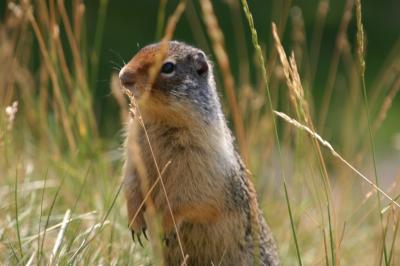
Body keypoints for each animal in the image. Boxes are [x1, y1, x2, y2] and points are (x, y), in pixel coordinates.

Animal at [120, 40, 280, 264]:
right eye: (141, 50)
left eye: (168, 67)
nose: (123, 77)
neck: (161, 121)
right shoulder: (134, 152)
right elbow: (132, 183)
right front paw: (135, 223)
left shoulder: (200, 165)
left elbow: (186, 198)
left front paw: (166, 227)